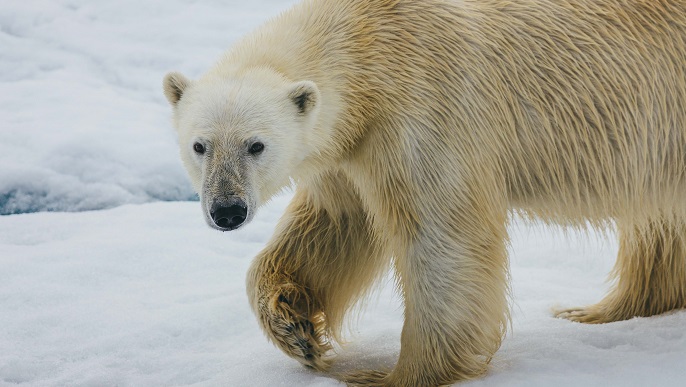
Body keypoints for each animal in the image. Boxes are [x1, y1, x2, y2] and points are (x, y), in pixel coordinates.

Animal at [165, 0, 686, 386]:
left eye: (256, 145)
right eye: (200, 145)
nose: (227, 210)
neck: (368, 44)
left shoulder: (424, 111)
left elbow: (442, 239)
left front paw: (392, 375)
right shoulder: (348, 149)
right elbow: (336, 225)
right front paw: (296, 328)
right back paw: (599, 310)